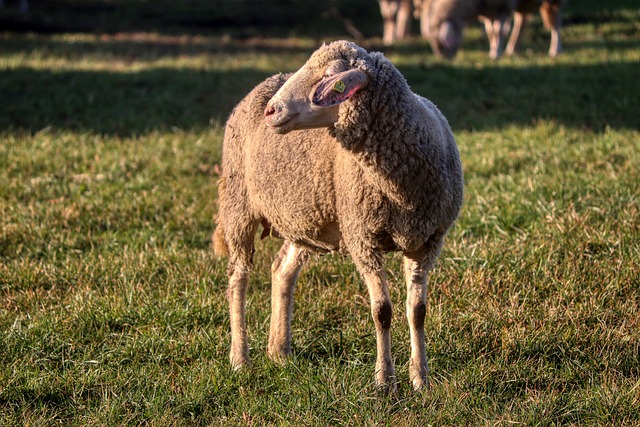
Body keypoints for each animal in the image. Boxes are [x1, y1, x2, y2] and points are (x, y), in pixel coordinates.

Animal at [212, 39, 462, 392]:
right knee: (238, 278)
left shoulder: (427, 241)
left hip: (305, 219)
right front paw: (385, 381)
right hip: (239, 206)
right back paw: (239, 358)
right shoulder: (362, 239)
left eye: (330, 77)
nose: (271, 111)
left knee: (282, 270)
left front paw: (421, 379)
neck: (402, 187)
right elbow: (382, 311)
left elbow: (418, 311)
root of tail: (265, 83)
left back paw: (279, 351)